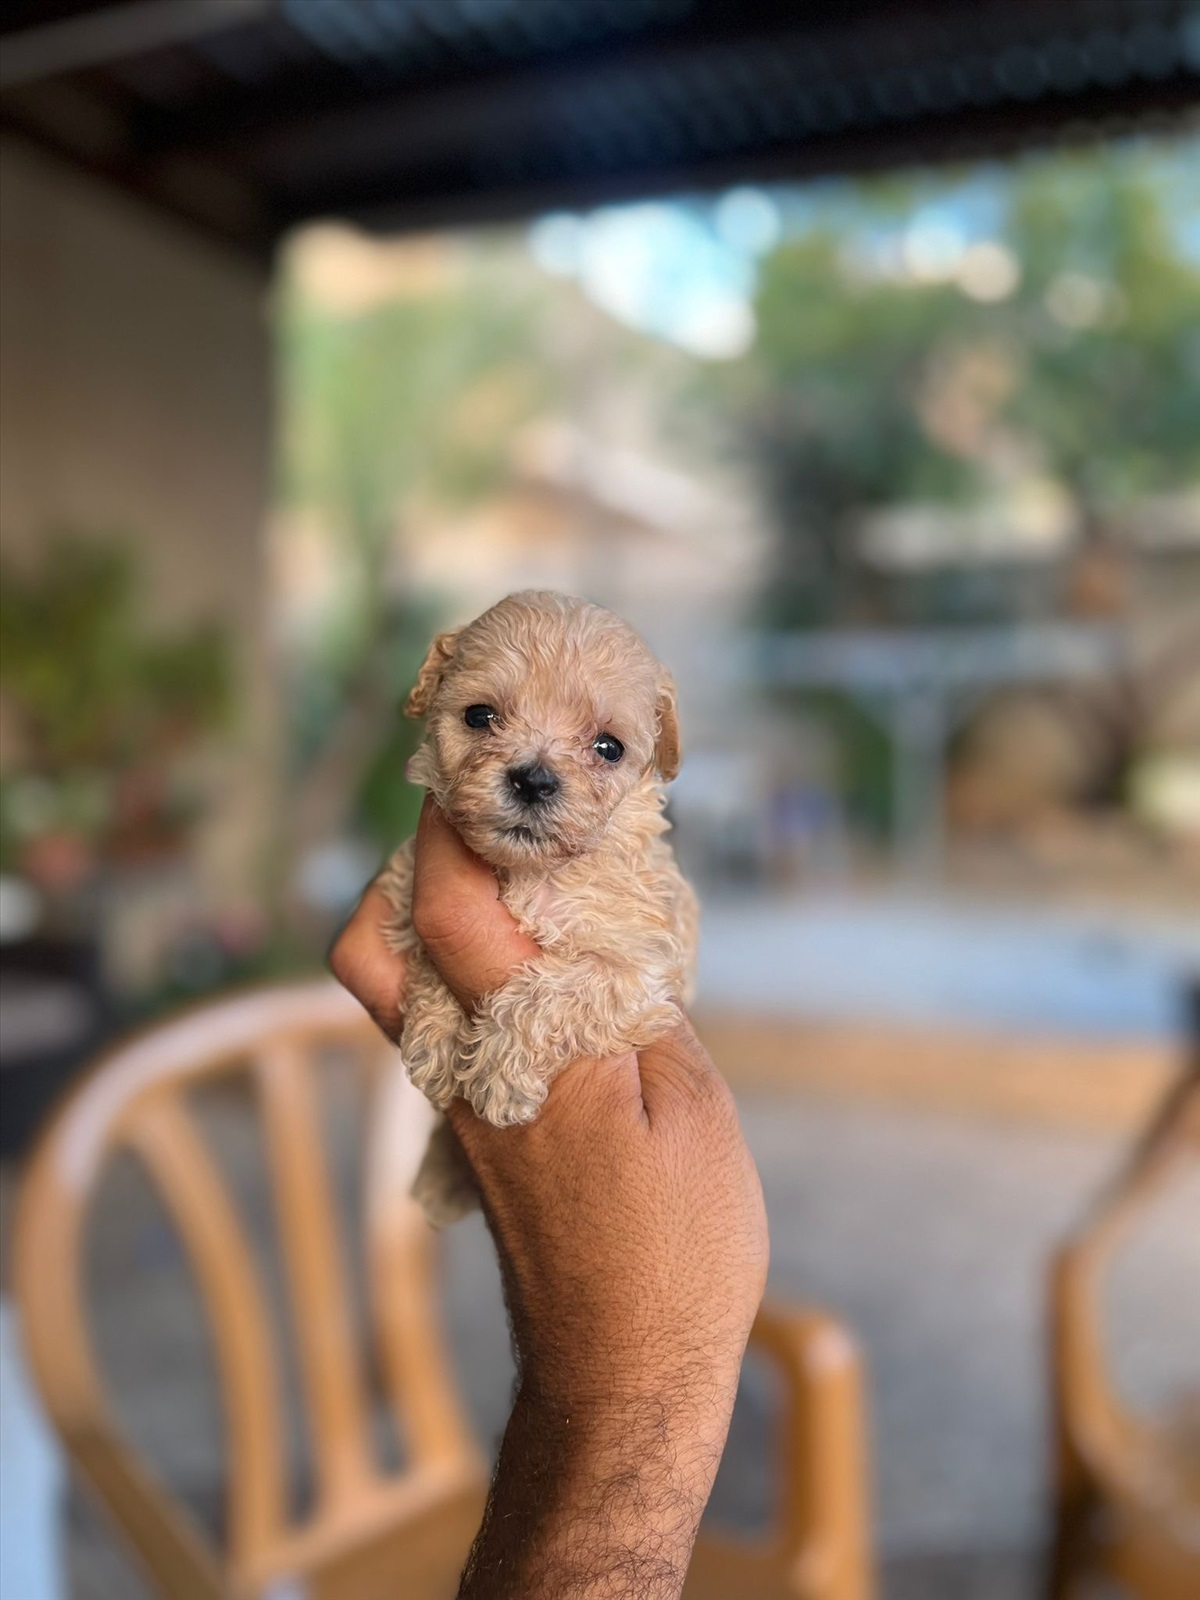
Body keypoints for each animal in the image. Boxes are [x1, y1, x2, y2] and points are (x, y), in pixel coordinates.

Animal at [380, 592, 700, 1222]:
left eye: (608, 747)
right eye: (479, 716)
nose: (533, 780)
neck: (525, 872)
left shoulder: (640, 971)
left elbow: (551, 992)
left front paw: (499, 1072)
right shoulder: (406, 889)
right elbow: (425, 957)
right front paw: (436, 1039)